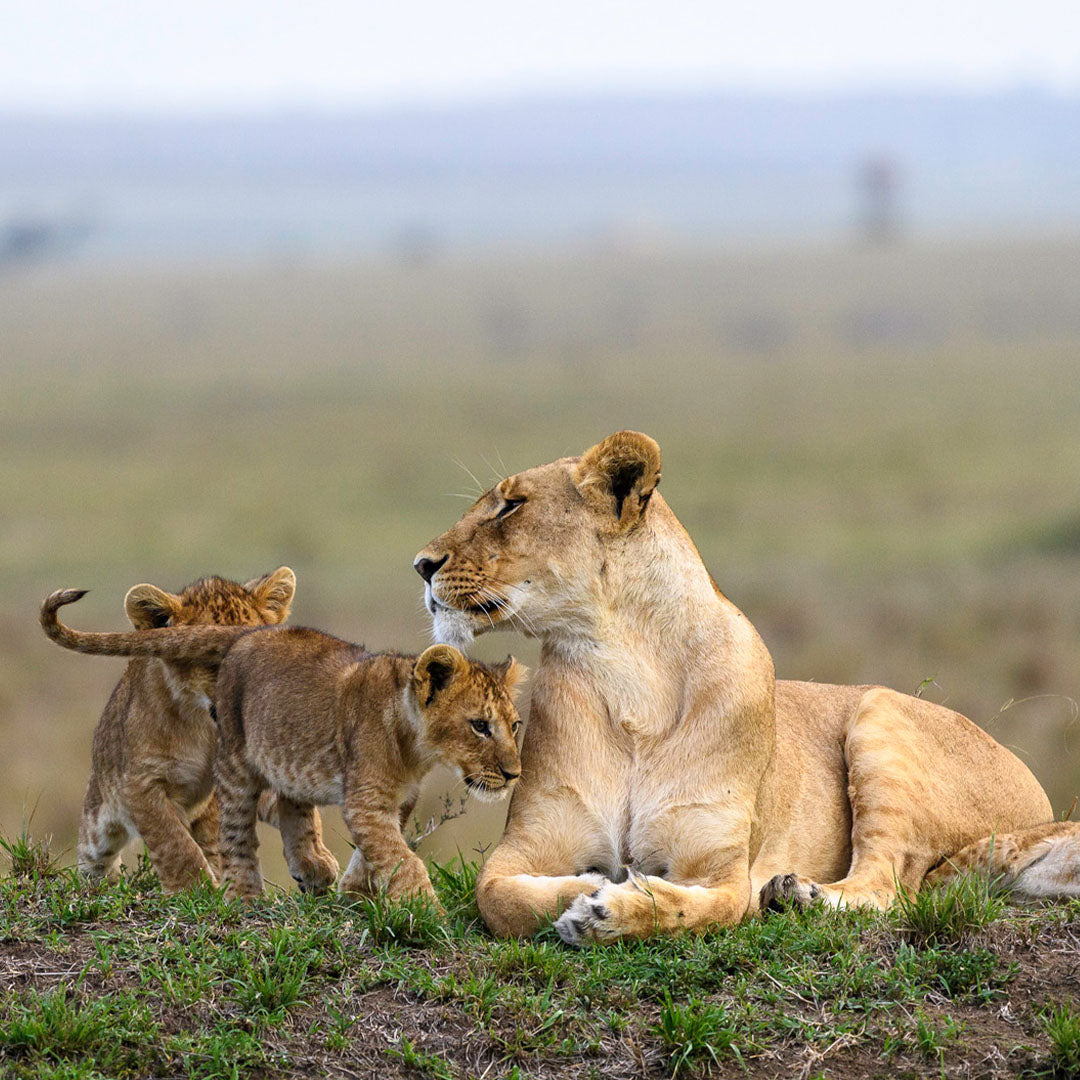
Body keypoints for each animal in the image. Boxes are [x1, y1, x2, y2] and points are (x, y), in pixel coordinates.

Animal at [39, 569, 336, 893]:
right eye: (208, 655)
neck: (203, 724)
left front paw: (313, 860)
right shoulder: (141, 783)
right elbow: (174, 843)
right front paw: (195, 890)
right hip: (98, 822)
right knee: (95, 857)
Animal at [413, 430, 1076, 944]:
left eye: (511, 506)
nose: (421, 564)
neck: (626, 672)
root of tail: (1037, 796)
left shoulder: (721, 865)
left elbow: (703, 907)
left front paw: (609, 910)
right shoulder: (524, 844)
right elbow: (496, 896)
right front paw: (590, 884)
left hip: (879, 711)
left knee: (889, 884)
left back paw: (799, 895)